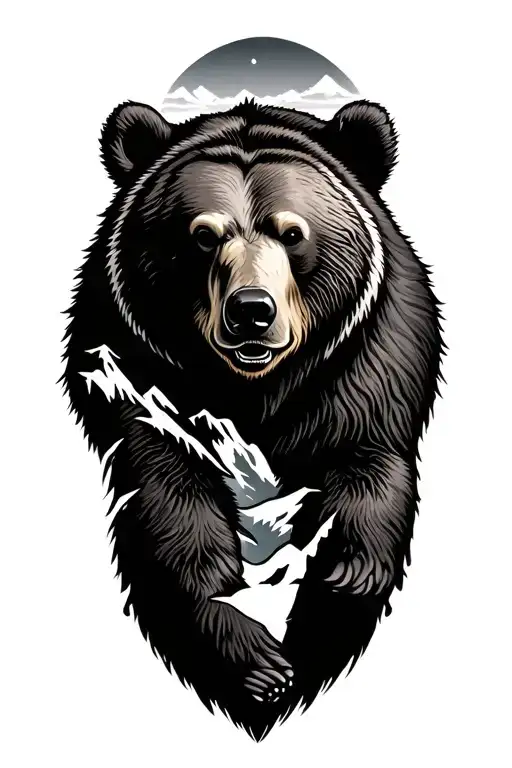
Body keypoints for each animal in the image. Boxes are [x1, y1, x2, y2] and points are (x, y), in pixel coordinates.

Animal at [62, 97, 443, 741]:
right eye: (201, 235)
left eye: (292, 232)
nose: (251, 312)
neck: (255, 391)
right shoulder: (137, 373)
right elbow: (170, 505)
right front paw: (258, 664)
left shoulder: (371, 364)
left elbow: (368, 469)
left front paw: (334, 589)